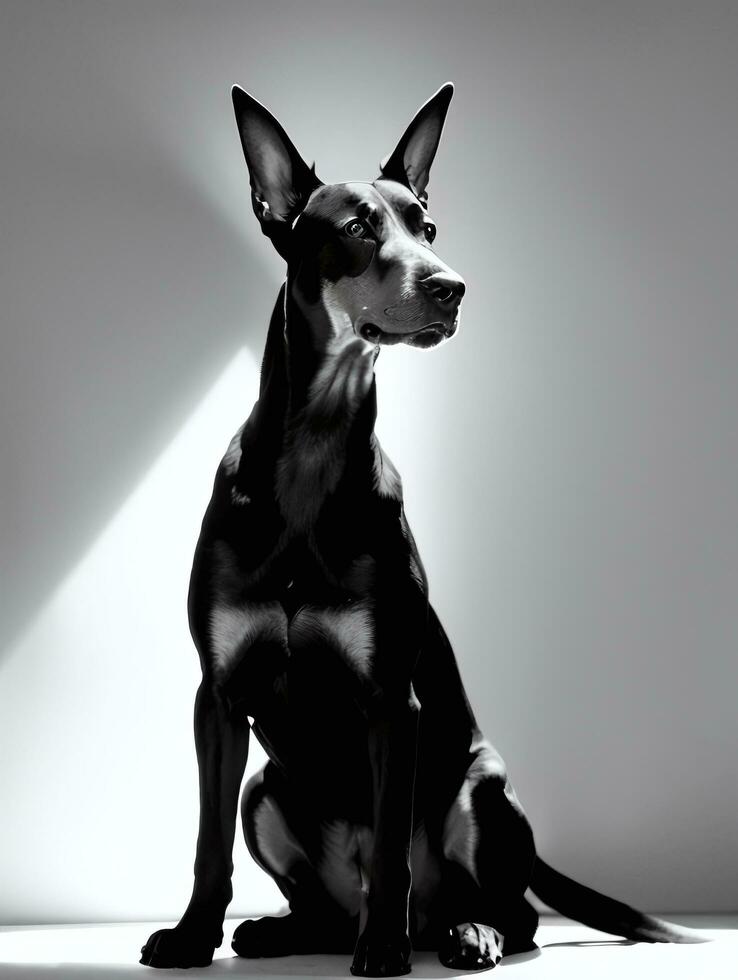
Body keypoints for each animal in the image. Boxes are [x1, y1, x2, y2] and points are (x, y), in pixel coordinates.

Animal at [139, 86, 700, 980]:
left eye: (426, 227)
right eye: (358, 228)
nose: (453, 287)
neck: (315, 449)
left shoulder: (391, 703)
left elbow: (393, 853)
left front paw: (384, 950)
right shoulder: (218, 699)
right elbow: (206, 842)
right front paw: (193, 936)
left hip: (481, 788)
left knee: (506, 909)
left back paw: (462, 932)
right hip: (268, 787)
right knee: (322, 900)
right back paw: (287, 929)